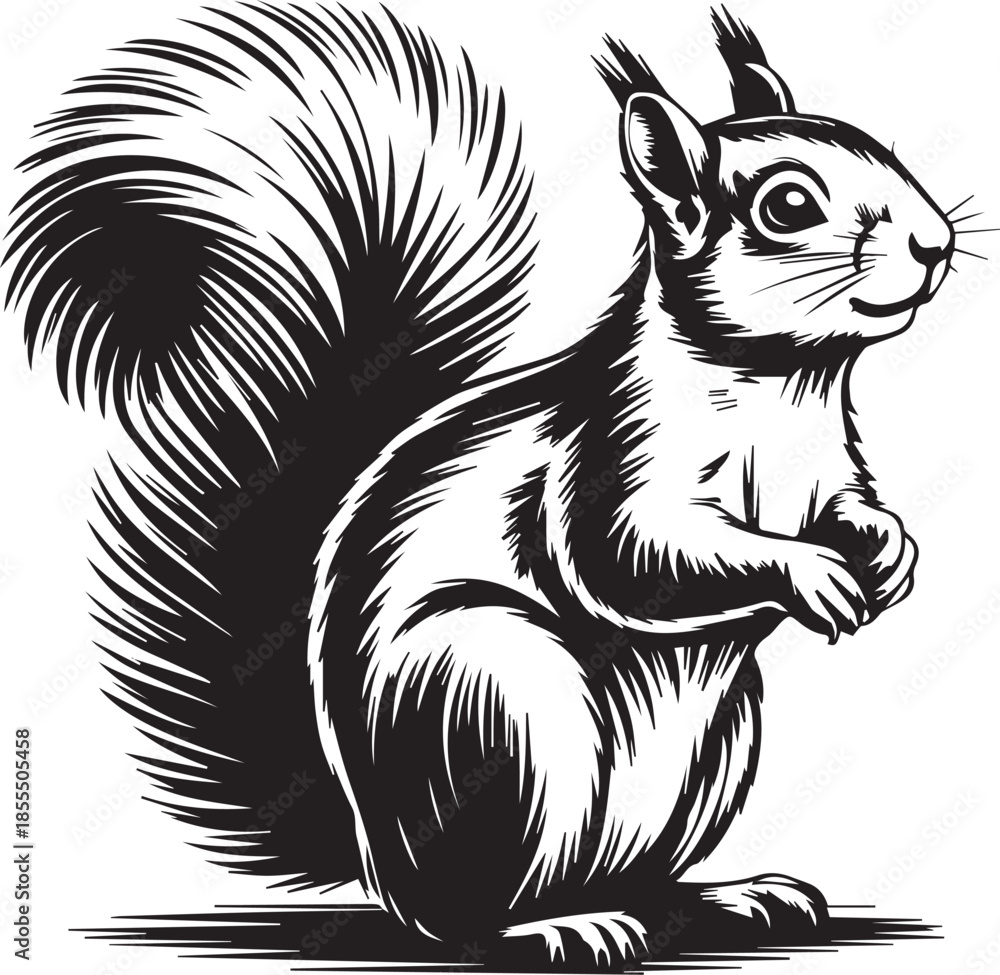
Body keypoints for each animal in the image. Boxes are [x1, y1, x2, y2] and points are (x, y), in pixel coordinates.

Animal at [6, 1, 955, 967]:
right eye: (789, 204)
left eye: (874, 143)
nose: (935, 242)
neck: (780, 391)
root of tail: (377, 851)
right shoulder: (609, 459)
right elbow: (632, 557)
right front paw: (811, 571)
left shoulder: (830, 469)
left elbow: (849, 507)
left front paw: (889, 549)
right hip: (498, 703)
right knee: (464, 917)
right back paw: (555, 924)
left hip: (719, 741)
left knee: (640, 879)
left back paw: (726, 896)